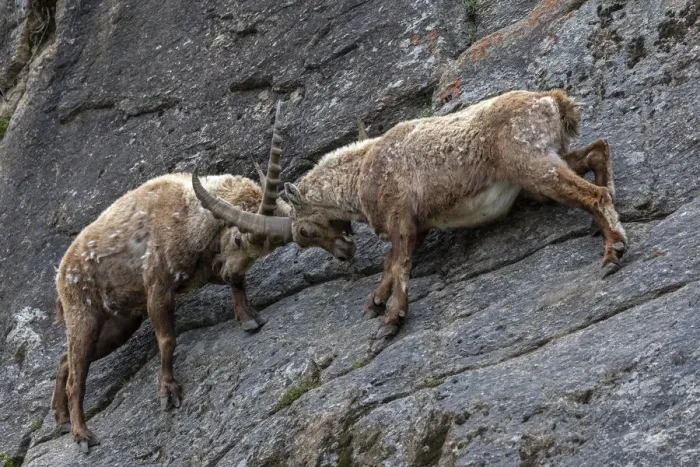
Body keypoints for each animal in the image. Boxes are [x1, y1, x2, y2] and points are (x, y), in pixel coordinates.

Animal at [52, 104, 289, 452]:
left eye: (264, 251)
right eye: (237, 239)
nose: (230, 269)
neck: (188, 214)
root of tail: (62, 271)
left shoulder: (202, 271)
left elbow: (237, 284)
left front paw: (248, 317)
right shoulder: (158, 286)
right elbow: (167, 339)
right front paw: (168, 391)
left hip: (120, 323)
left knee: (64, 361)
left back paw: (61, 418)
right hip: (83, 314)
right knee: (75, 377)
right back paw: (82, 434)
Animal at [192, 90, 627, 339]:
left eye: (303, 232)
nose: (346, 253)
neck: (361, 171)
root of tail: (551, 100)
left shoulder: (400, 213)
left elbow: (400, 261)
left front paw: (391, 320)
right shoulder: (420, 223)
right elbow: (390, 262)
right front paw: (376, 301)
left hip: (531, 164)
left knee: (593, 192)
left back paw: (613, 251)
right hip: (545, 161)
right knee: (598, 152)